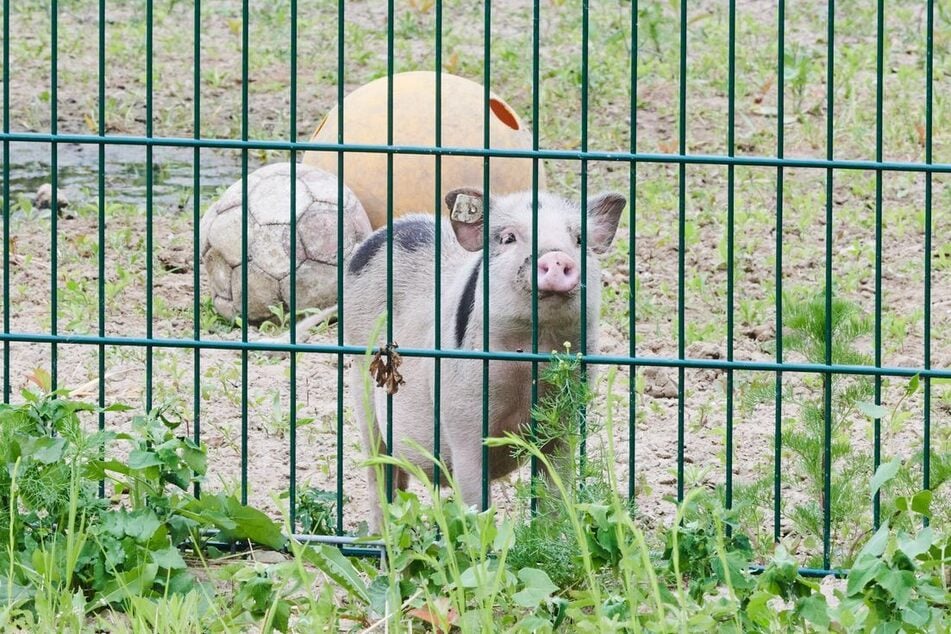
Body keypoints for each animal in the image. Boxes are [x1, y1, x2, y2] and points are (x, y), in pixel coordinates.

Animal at [343, 187, 625, 531]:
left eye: (580, 239)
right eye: (508, 238)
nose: (556, 256)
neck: (530, 361)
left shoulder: (567, 414)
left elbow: (555, 485)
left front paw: (550, 533)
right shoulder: (462, 414)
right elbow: (474, 496)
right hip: (361, 380)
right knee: (378, 469)